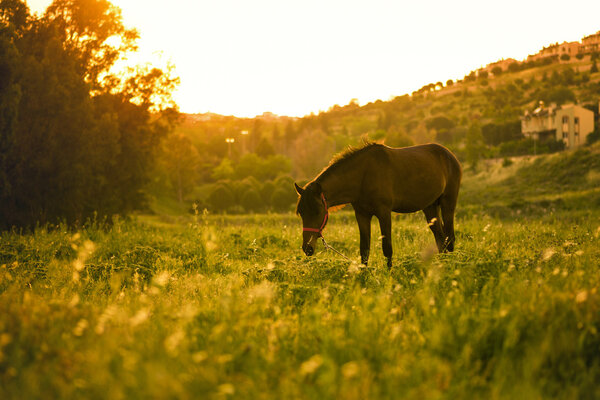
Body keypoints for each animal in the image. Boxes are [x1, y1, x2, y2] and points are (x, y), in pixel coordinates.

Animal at [296, 142, 464, 268]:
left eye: (318, 212)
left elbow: (387, 248)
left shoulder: (384, 213)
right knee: (441, 239)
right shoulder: (362, 215)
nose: (307, 248)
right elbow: (364, 249)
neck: (364, 175)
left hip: (448, 203)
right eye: (301, 213)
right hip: (430, 207)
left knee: (449, 238)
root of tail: (450, 155)